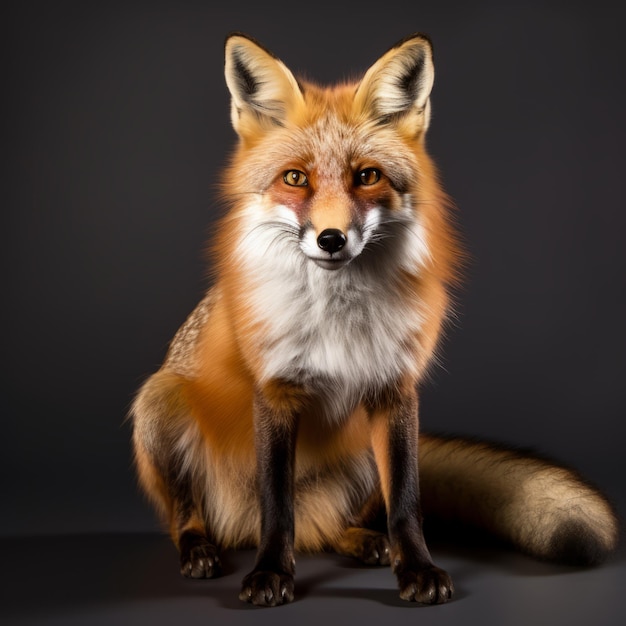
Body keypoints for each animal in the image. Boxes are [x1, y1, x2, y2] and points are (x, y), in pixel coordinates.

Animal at [129, 31, 616, 604]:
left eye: (367, 176)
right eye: (295, 178)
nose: (331, 239)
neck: (338, 320)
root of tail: (239, 528)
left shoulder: (395, 389)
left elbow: (406, 502)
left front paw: (418, 569)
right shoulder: (275, 391)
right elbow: (277, 507)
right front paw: (271, 573)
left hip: (361, 450)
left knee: (336, 527)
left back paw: (364, 542)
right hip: (161, 403)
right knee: (196, 516)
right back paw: (201, 549)